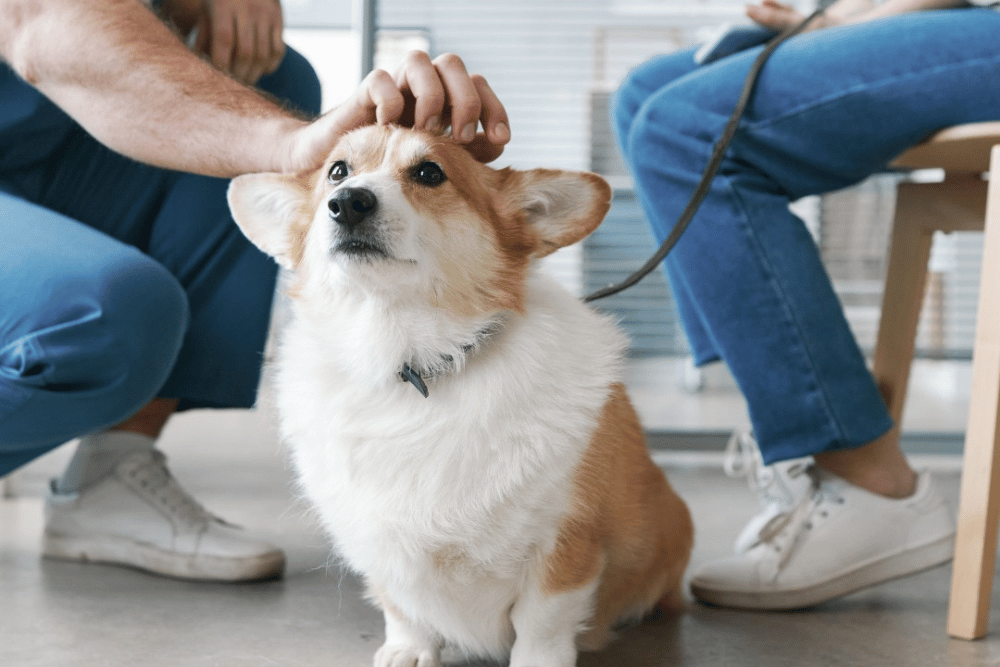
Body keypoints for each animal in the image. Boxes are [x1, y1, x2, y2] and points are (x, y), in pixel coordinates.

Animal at [229, 125, 692, 667]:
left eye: (430, 173)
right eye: (337, 171)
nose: (347, 203)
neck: (410, 362)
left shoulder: (564, 543)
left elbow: (541, 623)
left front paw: (536, 661)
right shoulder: (379, 542)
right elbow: (402, 607)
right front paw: (407, 651)